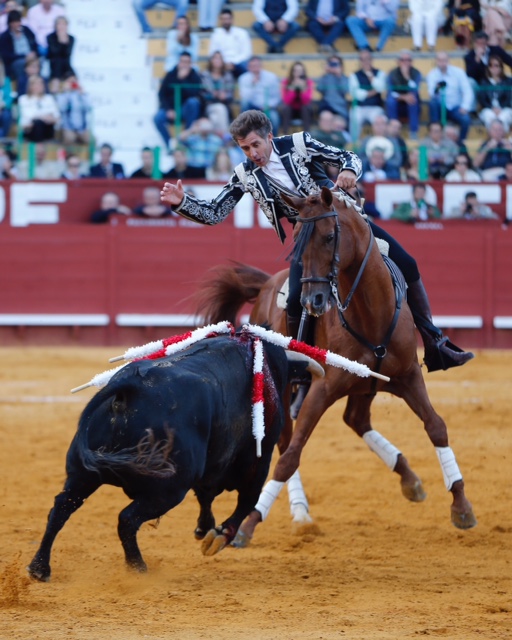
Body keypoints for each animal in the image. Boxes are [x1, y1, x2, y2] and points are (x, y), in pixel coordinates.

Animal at [196, 186, 477, 543]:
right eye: (297, 239)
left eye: (330, 237)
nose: (312, 301)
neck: (371, 314)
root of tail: (266, 286)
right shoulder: (323, 388)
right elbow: (290, 455)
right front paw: (247, 525)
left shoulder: (409, 377)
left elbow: (436, 426)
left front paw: (462, 507)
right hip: (289, 389)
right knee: (288, 442)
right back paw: (300, 511)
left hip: (366, 385)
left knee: (356, 419)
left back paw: (410, 480)